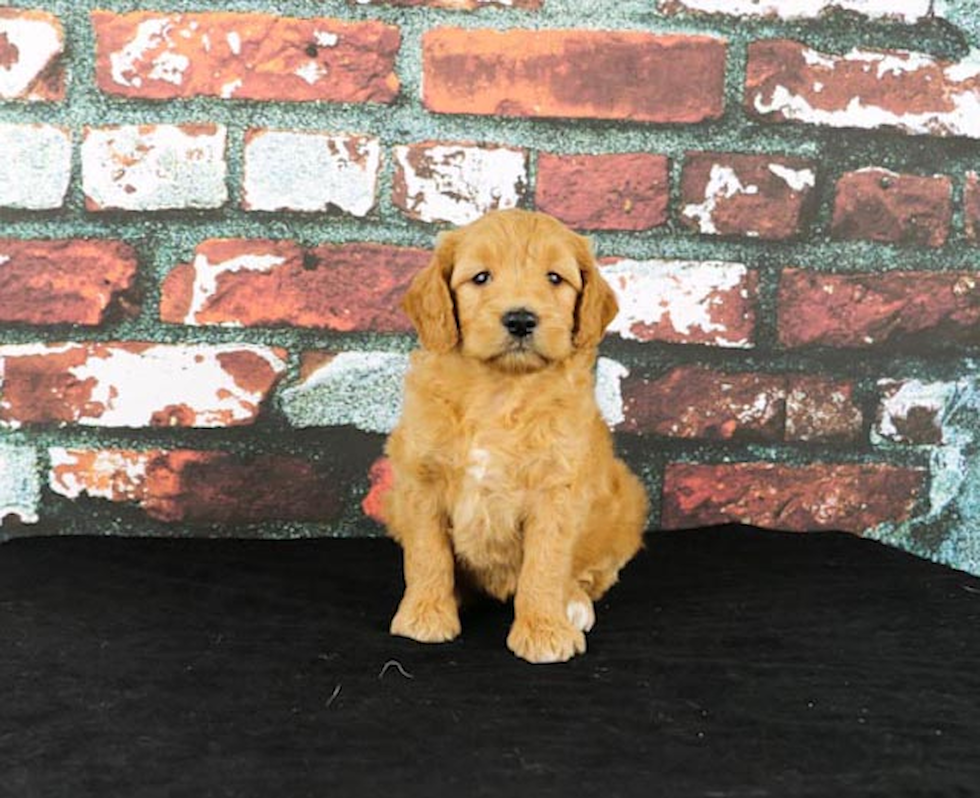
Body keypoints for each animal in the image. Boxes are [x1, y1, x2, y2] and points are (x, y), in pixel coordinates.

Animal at [384, 209, 652, 664]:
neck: (500, 388)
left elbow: (545, 564)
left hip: (624, 506)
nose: (521, 319)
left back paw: (573, 605)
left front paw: (544, 632)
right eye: (480, 277)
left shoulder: (556, 488)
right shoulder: (420, 479)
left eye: (555, 278)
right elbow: (427, 554)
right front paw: (425, 616)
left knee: (587, 575)